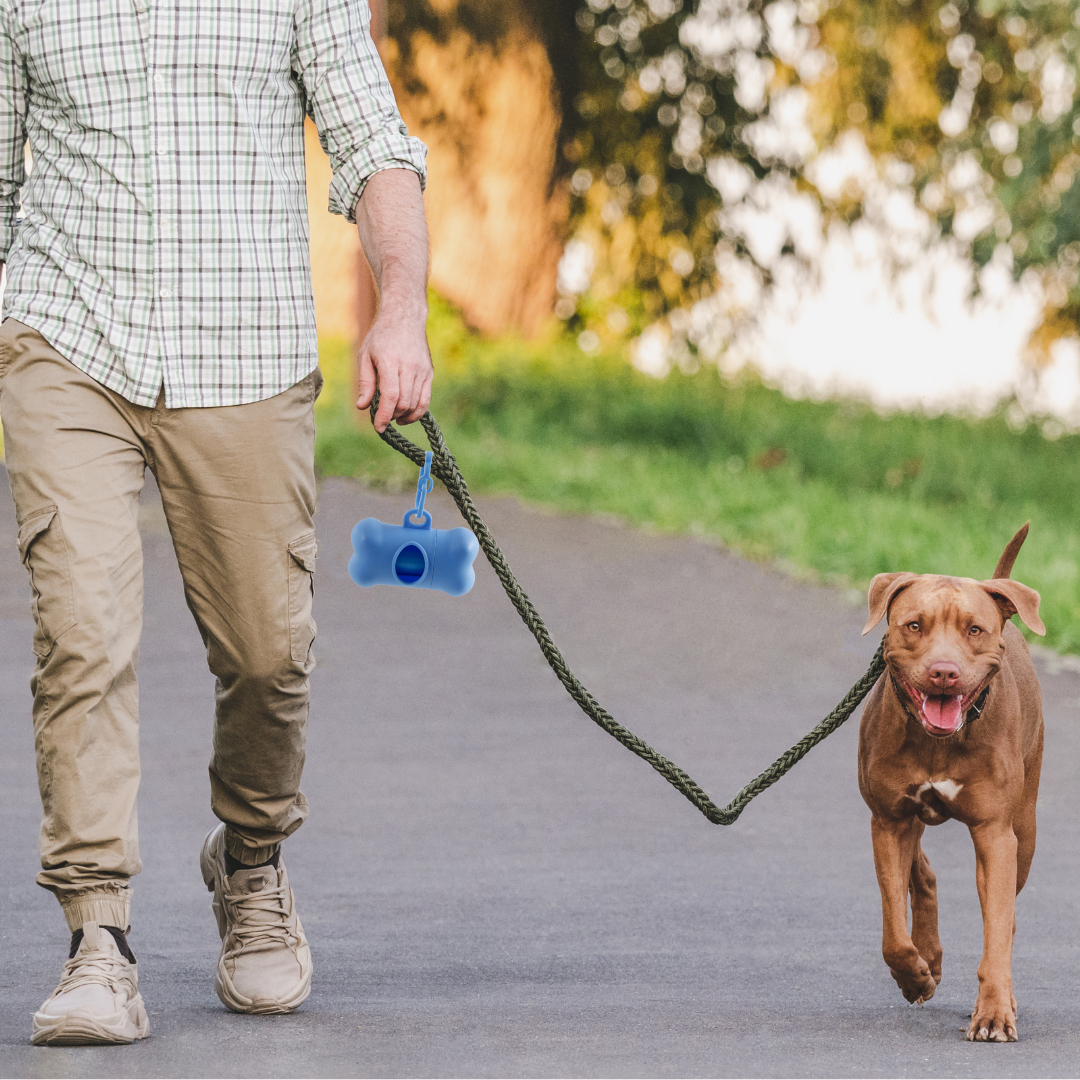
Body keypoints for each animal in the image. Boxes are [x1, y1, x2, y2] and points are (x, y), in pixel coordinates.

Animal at [855, 527, 1041, 1041]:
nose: (944, 671)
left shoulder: (996, 835)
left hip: (1026, 830)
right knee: (922, 871)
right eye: (914, 625)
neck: (940, 742)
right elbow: (893, 928)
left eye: (974, 630)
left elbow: (997, 928)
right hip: (905, 815)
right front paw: (915, 975)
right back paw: (929, 959)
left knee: (1007, 917)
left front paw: (994, 1011)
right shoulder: (888, 821)